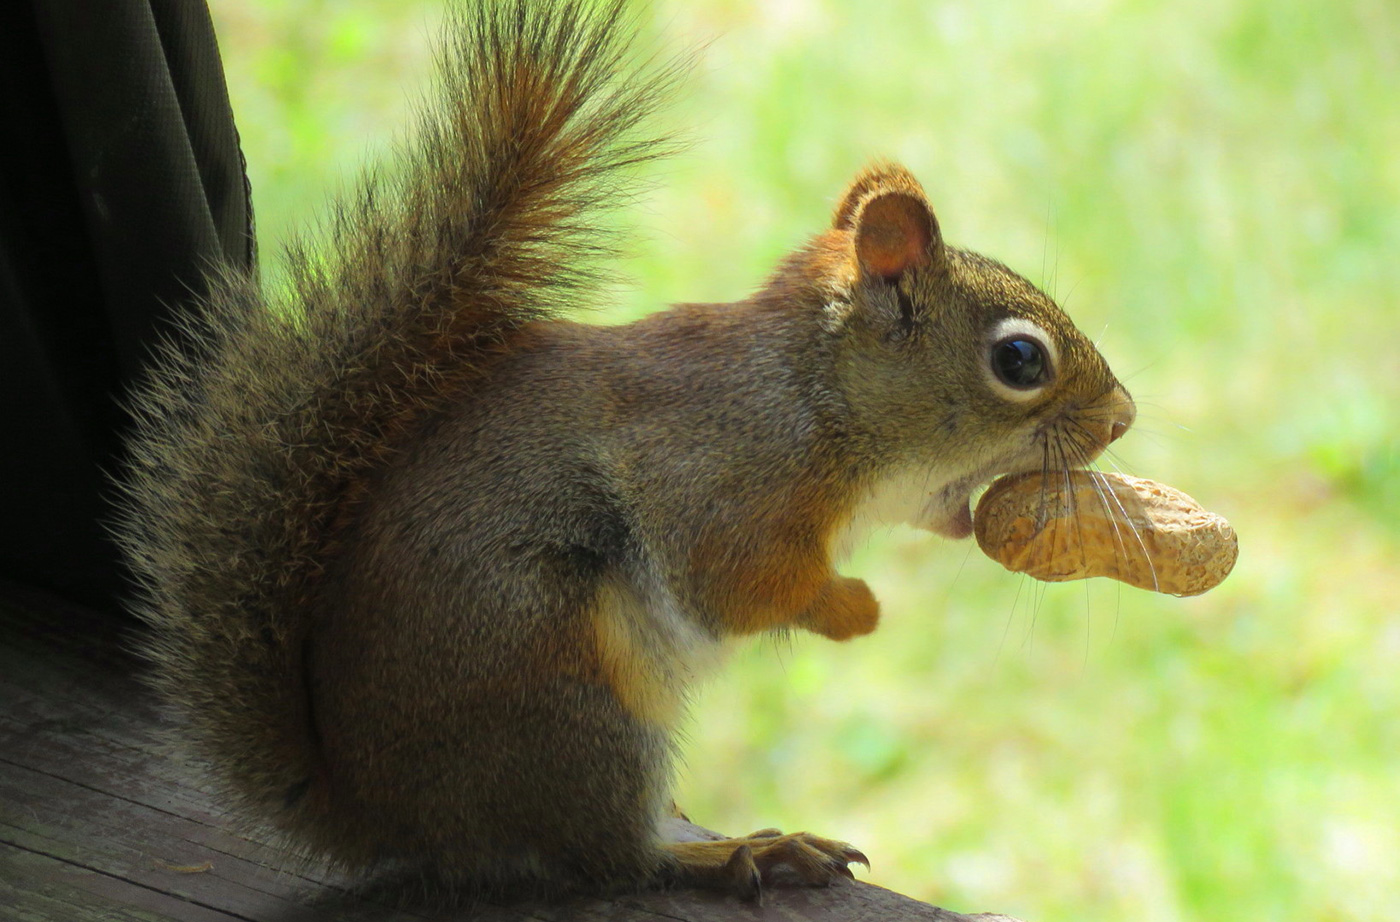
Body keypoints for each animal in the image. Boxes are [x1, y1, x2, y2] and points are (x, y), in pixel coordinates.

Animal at [114, 0, 1131, 901]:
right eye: (1019, 361)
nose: (1121, 416)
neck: (816, 399)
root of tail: (390, 819)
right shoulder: (719, 477)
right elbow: (738, 583)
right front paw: (856, 608)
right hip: (567, 688)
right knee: (603, 858)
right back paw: (732, 855)